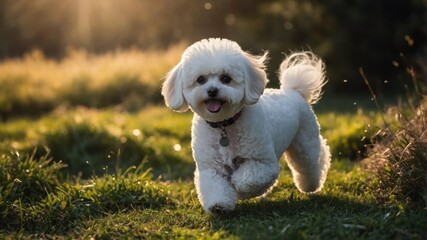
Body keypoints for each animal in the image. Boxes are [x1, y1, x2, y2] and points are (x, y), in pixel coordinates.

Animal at [162, 38, 332, 215]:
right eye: (200, 79)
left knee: (313, 161)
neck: (223, 125)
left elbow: (246, 179)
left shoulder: (264, 163)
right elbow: (216, 186)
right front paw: (219, 205)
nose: (212, 90)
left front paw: (240, 189)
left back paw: (310, 185)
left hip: (305, 142)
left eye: (226, 78)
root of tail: (294, 91)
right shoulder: (211, 168)